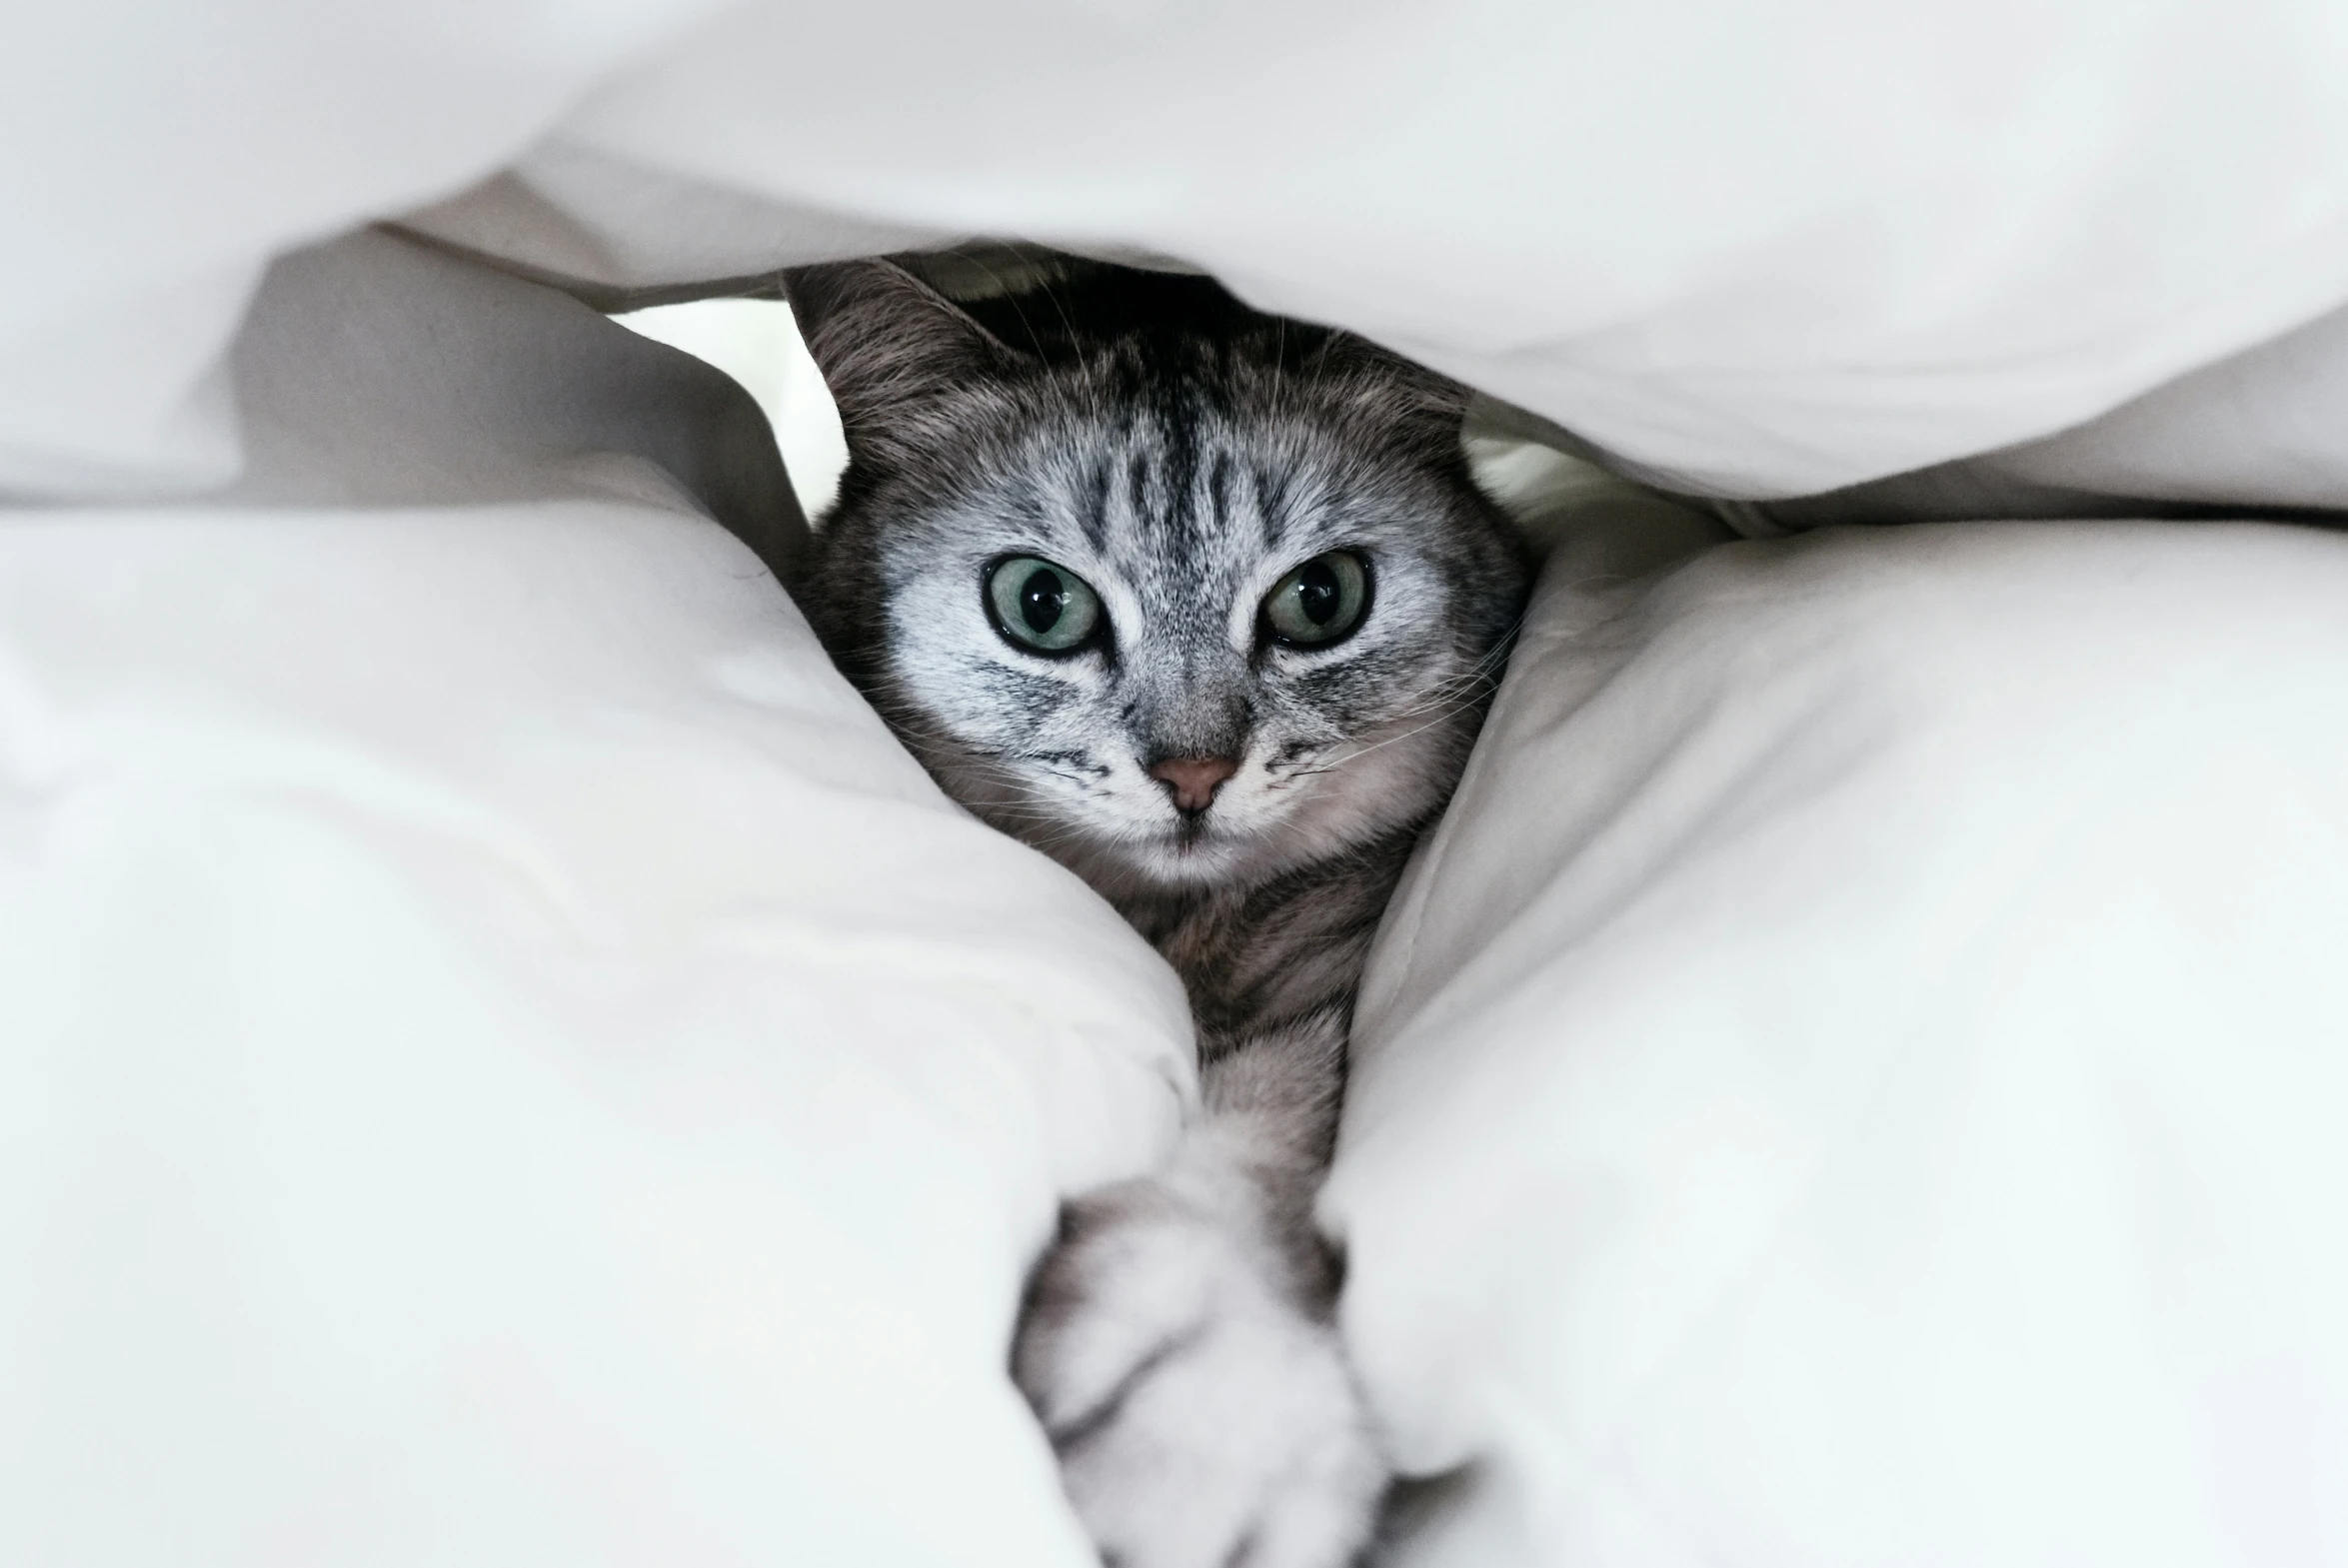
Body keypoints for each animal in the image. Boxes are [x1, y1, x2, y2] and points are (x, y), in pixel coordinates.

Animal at [779, 257, 1530, 1568]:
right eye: (1040, 604)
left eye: (1322, 598)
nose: (1193, 775)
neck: (1177, 933)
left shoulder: (1320, 999)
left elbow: (1249, 1152)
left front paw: (1210, 1426)